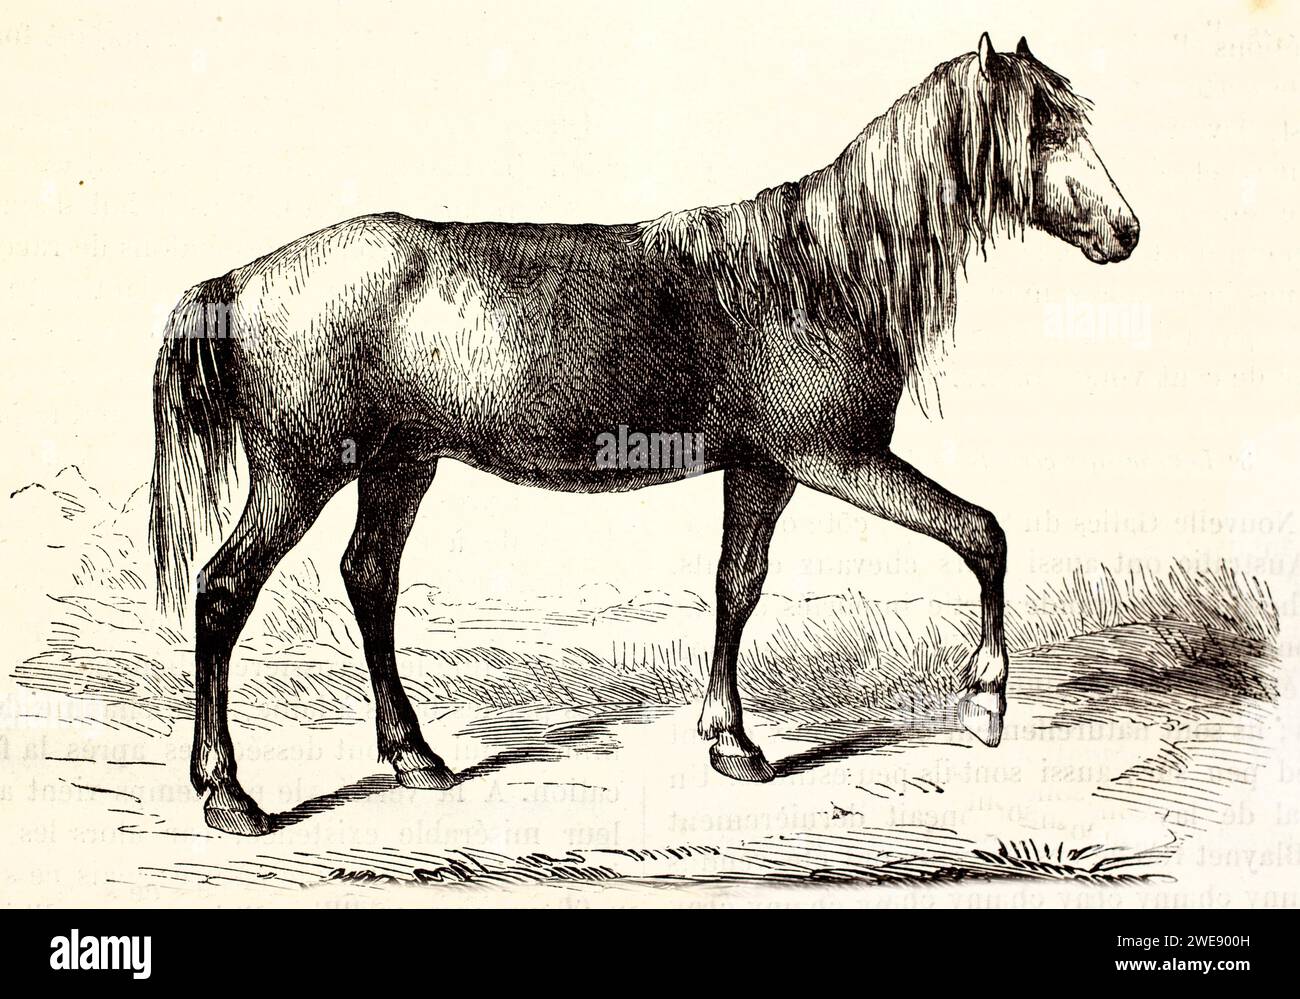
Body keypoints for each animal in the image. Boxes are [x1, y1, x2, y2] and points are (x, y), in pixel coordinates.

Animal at [149, 33, 1139, 835]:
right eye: (1047, 128)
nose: (1127, 231)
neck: (820, 270)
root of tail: (239, 282)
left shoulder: (763, 469)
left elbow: (737, 585)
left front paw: (731, 740)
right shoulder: (837, 458)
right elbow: (982, 534)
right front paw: (986, 702)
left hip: (400, 464)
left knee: (369, 578)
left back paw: (415, 756)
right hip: (300, 474)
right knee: (226, 589)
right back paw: (230, 794)